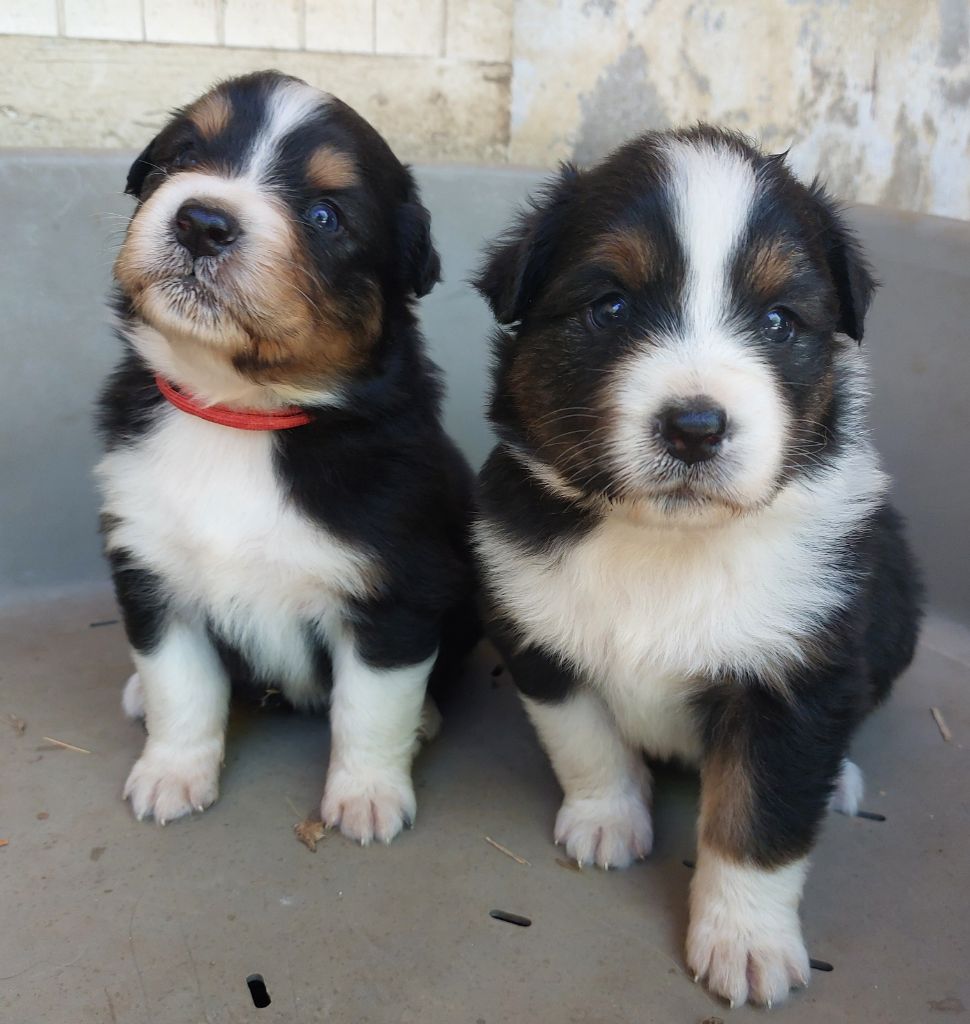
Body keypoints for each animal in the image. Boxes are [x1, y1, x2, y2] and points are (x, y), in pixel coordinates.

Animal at [96, 71, 476, 844]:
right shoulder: (150, 567)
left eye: (325, 215)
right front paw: (170, 774)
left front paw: (367, 796)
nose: (201, 221)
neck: (238, 414)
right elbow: (182, 686)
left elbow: (371, 706)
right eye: (183, 156)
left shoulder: (396, 588)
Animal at [473, 126, 922, 1007]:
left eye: (780, 320)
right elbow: (586, 738)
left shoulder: (796, 679)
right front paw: (607, 820)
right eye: (610, 307)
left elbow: (759, 822)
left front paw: (745, 942)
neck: (666, 544)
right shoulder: (537, 629)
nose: (695, 427)